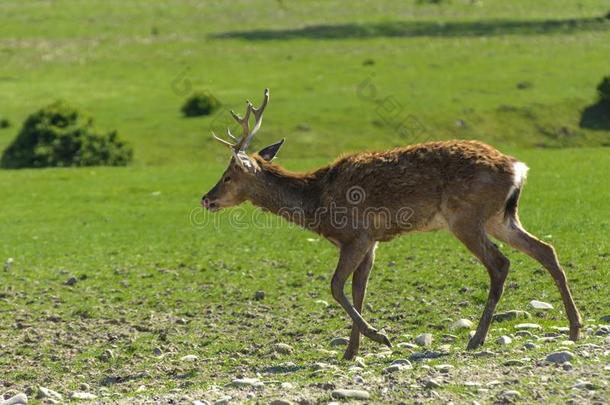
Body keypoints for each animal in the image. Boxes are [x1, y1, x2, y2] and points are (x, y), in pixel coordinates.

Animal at [200, 89, 580, 360]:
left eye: (228, 175)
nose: (206, 198)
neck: (317, 203)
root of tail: (518, 169)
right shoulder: (371, 242)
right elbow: (358, 290)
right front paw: (351, 351)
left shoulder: (356, 234)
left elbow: (335, 286)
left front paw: (380, 337)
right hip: (501, 216)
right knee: (546, 250)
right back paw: (574, 328)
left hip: (467, 217)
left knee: (500, 263)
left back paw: (477, 339)